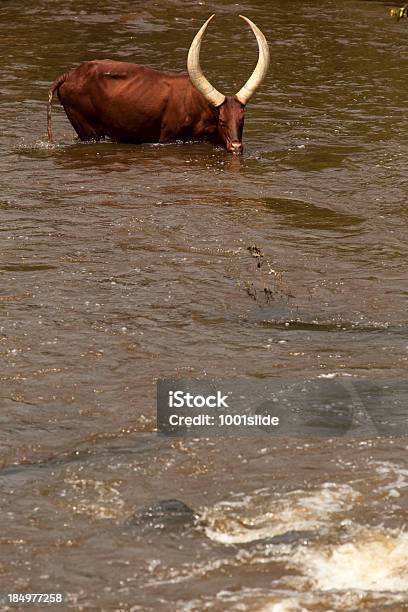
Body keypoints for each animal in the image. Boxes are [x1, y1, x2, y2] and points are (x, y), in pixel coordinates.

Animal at [47, 14, 268, 154]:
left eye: (242, 119)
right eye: (221, 121)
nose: (236, 147)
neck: (199, 107)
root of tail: (70, 74)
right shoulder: (167, 138)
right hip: (88, 130)